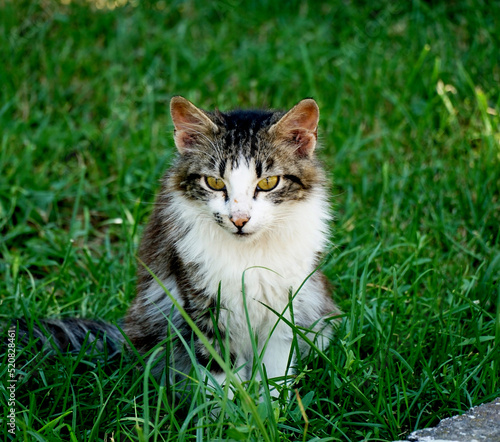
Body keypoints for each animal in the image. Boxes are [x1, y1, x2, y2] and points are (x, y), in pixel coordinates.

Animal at [12, 96, 340, 398]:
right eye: (214, 183)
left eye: (269, 182)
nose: (239, 220)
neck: (249, 256)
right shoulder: (203, 306)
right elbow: (220, 378)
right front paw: (227, 416)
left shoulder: (284, 310)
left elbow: (274, 376)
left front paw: (271, 413)